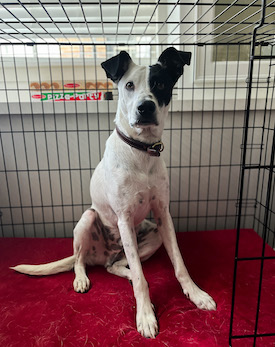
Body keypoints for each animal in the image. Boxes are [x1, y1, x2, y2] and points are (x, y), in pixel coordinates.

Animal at [11, 49, 217, 340]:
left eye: (160, 84)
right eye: (129, 85)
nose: (145, 107)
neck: (141, 151)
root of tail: (101, 254)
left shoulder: (163, 215)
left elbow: (179, 263)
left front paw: (195, 294)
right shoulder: (123, 217)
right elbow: (142, 280)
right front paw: (145, 316)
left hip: (150, 235)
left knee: (116, 266)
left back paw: (125, 271)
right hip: (88, 219)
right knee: (81, 260)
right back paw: (82, 278)